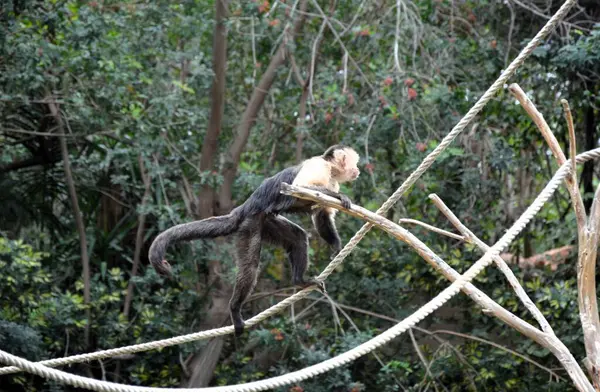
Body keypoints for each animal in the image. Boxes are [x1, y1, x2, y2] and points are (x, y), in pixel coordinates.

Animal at [150, 145, 360, 336]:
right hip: (251, 223)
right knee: (250, 267)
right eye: (355, 163)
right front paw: (340, 196)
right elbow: (301, 188)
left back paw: (300, 281)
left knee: (298, 238)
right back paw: (235, 308)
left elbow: (321, 215)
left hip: (266, 221)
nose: (358, 169)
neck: (331, 171)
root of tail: (244, 208)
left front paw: (336, 246)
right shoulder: (318, 165)